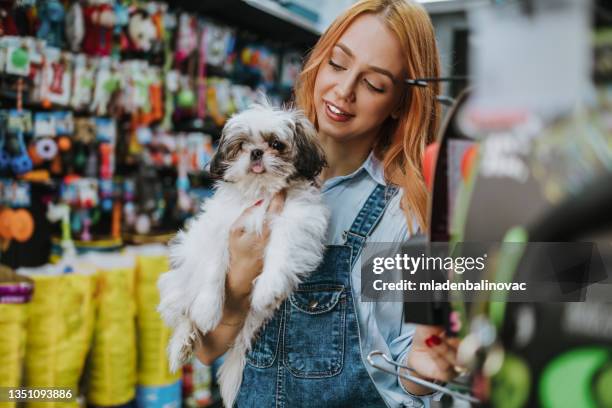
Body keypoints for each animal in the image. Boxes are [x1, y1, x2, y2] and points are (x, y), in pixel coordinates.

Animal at [158, 102, 330, 408]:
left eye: (276, 144)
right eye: (241, 146)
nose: (256, 152)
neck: (261, 192)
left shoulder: (297, 220)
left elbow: (282, 249)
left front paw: (268, 287)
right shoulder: (221, 228)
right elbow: (214, 266)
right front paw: (208, 307)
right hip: (180, 276)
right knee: (183, 313)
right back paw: (183, 343)